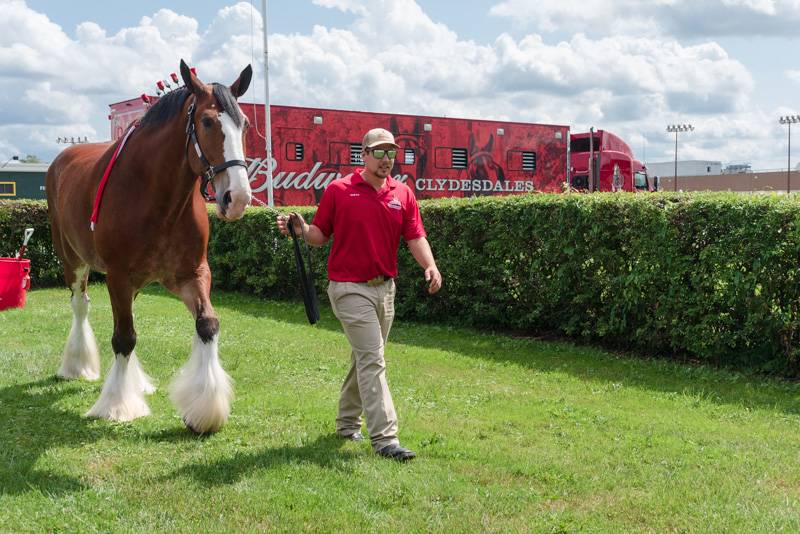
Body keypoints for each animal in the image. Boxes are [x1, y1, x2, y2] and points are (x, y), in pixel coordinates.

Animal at [45, 59, 252, 436]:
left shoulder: (191, 274)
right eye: (207, 121)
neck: (156, 197)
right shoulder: (117, 276)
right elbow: (123, 337)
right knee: (80, 306)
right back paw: (78, 366)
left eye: (243, 123)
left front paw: (203, 409)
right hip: (73, 261)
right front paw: (117, 405)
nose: (238, 197)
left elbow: (207, 325)